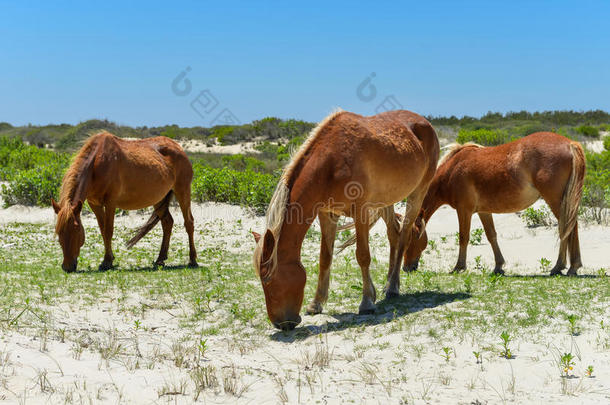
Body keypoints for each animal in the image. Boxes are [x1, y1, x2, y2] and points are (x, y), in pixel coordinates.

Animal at [51, 131, 197, 272]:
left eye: (76, 229)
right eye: (59, 231)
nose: (67, 267)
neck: (96, 164)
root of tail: (178, 147)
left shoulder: (110, 203)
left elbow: (108, 230)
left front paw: (107, 262)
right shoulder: (95, 204)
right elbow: (102, 230)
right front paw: (109, 259)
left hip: (182, 191)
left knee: (189, 222)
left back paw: (192, 260)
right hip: (159, 199)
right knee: (167, 223)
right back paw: (160, 260)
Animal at [252, 109, 436, 330]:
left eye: (268, 280)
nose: (281, 323)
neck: (331, 163)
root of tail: (424, 121)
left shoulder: (361, 212)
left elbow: (363, 256)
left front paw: (367, 302)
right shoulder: (326, 214)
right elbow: (325, 257)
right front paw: (316, 303)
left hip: (418, 193)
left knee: (404, 237)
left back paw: (392, 287)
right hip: (387, 200)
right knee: (394, 233)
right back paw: (388, 284)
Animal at [402, 131, 580, 276]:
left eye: (410, 239)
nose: (406, 268)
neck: (452, 170)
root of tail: (570, 143)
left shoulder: (464, 210)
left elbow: (463, 237)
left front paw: (459, 267)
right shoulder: (483, 211)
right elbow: (491, 235)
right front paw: (498, 266)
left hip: (555, 200)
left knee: (566, 227)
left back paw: (561, 266)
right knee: (570, 226)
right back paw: (572, 266)